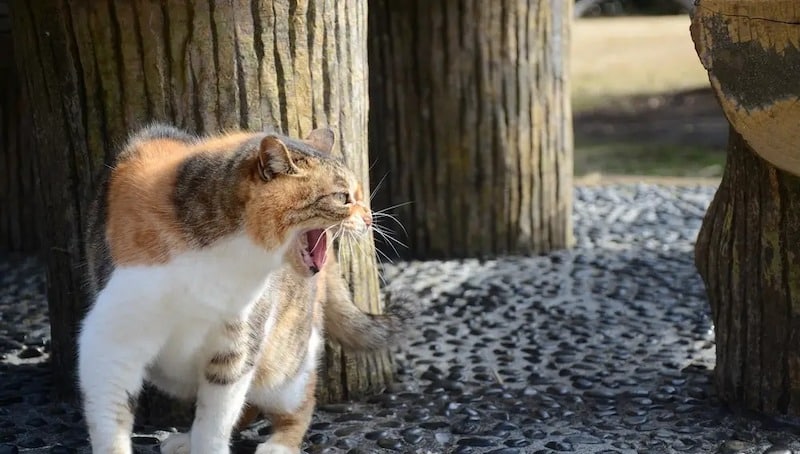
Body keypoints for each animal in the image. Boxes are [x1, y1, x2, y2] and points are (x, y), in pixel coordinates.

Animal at [79, 123, 406, 454]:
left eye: (359, 195)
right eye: (342, 197)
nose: (369, 218)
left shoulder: (236, 345)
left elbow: (215, 421)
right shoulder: (113, 341)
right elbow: (111, 416)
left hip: (283, 363)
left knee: (297, 401)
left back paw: (279, 444)